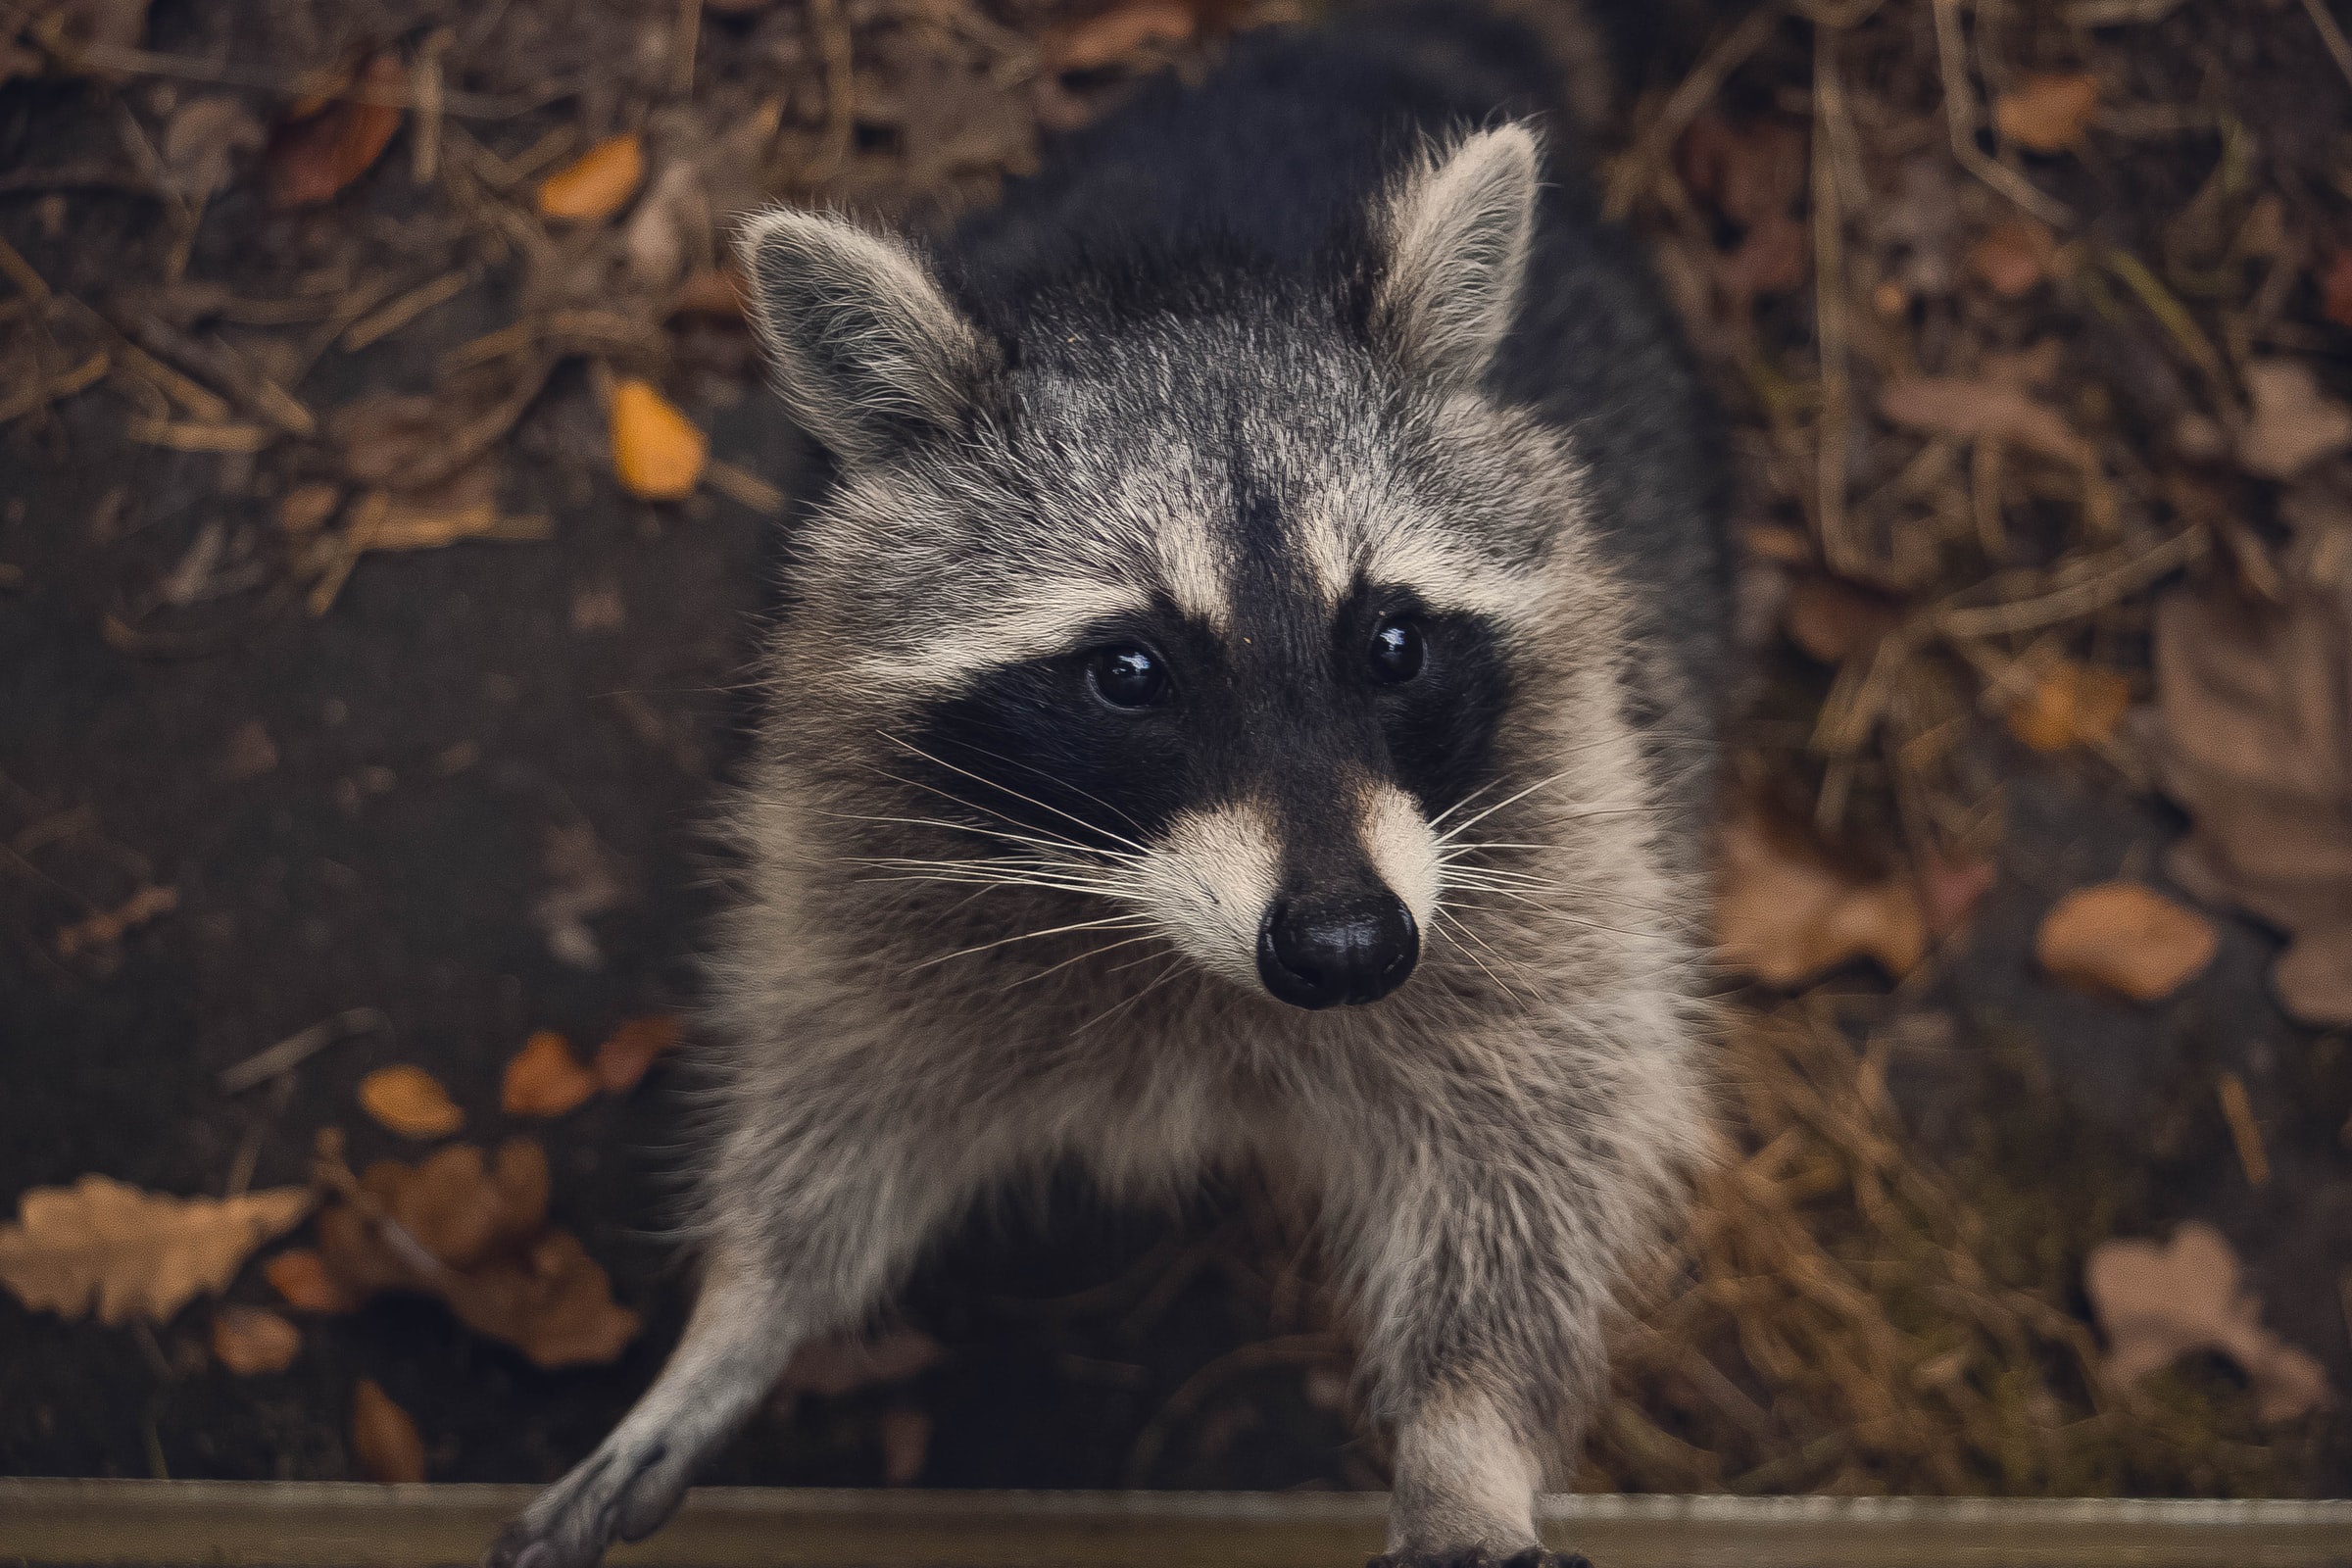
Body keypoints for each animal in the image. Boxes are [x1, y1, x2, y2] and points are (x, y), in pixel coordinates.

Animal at [488, 4, 1726, 1564]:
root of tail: (1373, 48)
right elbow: (838, 1084)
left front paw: (1468, 1438)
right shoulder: (856, 835)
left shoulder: (1560, 826)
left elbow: (1541, 1135)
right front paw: (741, 1312)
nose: (1347, 947)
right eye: (1130, 672)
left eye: (1392, 641)